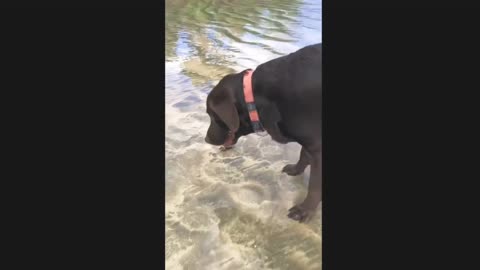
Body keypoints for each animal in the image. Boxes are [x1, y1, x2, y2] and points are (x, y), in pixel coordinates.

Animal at [203, 43, 320, 223]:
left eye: (212, 115)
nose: (206, 139)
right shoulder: (309, 140)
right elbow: (303, 154)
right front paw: (296, 169)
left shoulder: (317, 146)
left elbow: (314, 186)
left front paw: (304, 210)